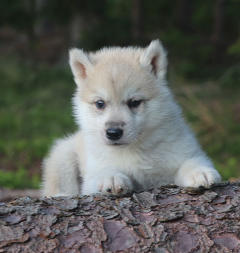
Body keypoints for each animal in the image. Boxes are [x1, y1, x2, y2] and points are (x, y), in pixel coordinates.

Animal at [40, 40, 219, 198]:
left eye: (134, 102)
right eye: (100, 103)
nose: (113, 132)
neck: (135, 149)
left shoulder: (183, 151)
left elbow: (190, 162)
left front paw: (200, 173)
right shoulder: (92, 174)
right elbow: (102, 173)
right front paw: (111, 178)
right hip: (63, 155)